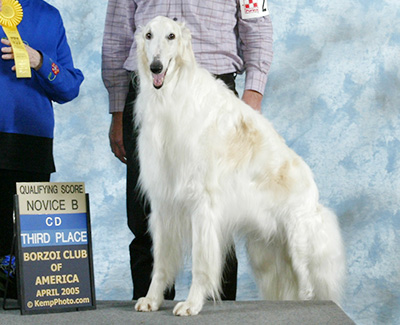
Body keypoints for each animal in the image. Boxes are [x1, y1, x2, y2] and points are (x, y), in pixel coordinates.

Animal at [133, 16, 346, 316]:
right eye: (148, 35)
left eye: (171, 36)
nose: (156, 67)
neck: (173, 96)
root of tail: (314, 193)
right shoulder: (163, 205)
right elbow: (160, 263)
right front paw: (151, 300)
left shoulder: (203, 207)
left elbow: (201, 264)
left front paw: (191, 304)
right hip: (267, 250)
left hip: (298, 241)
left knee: (308, 288)